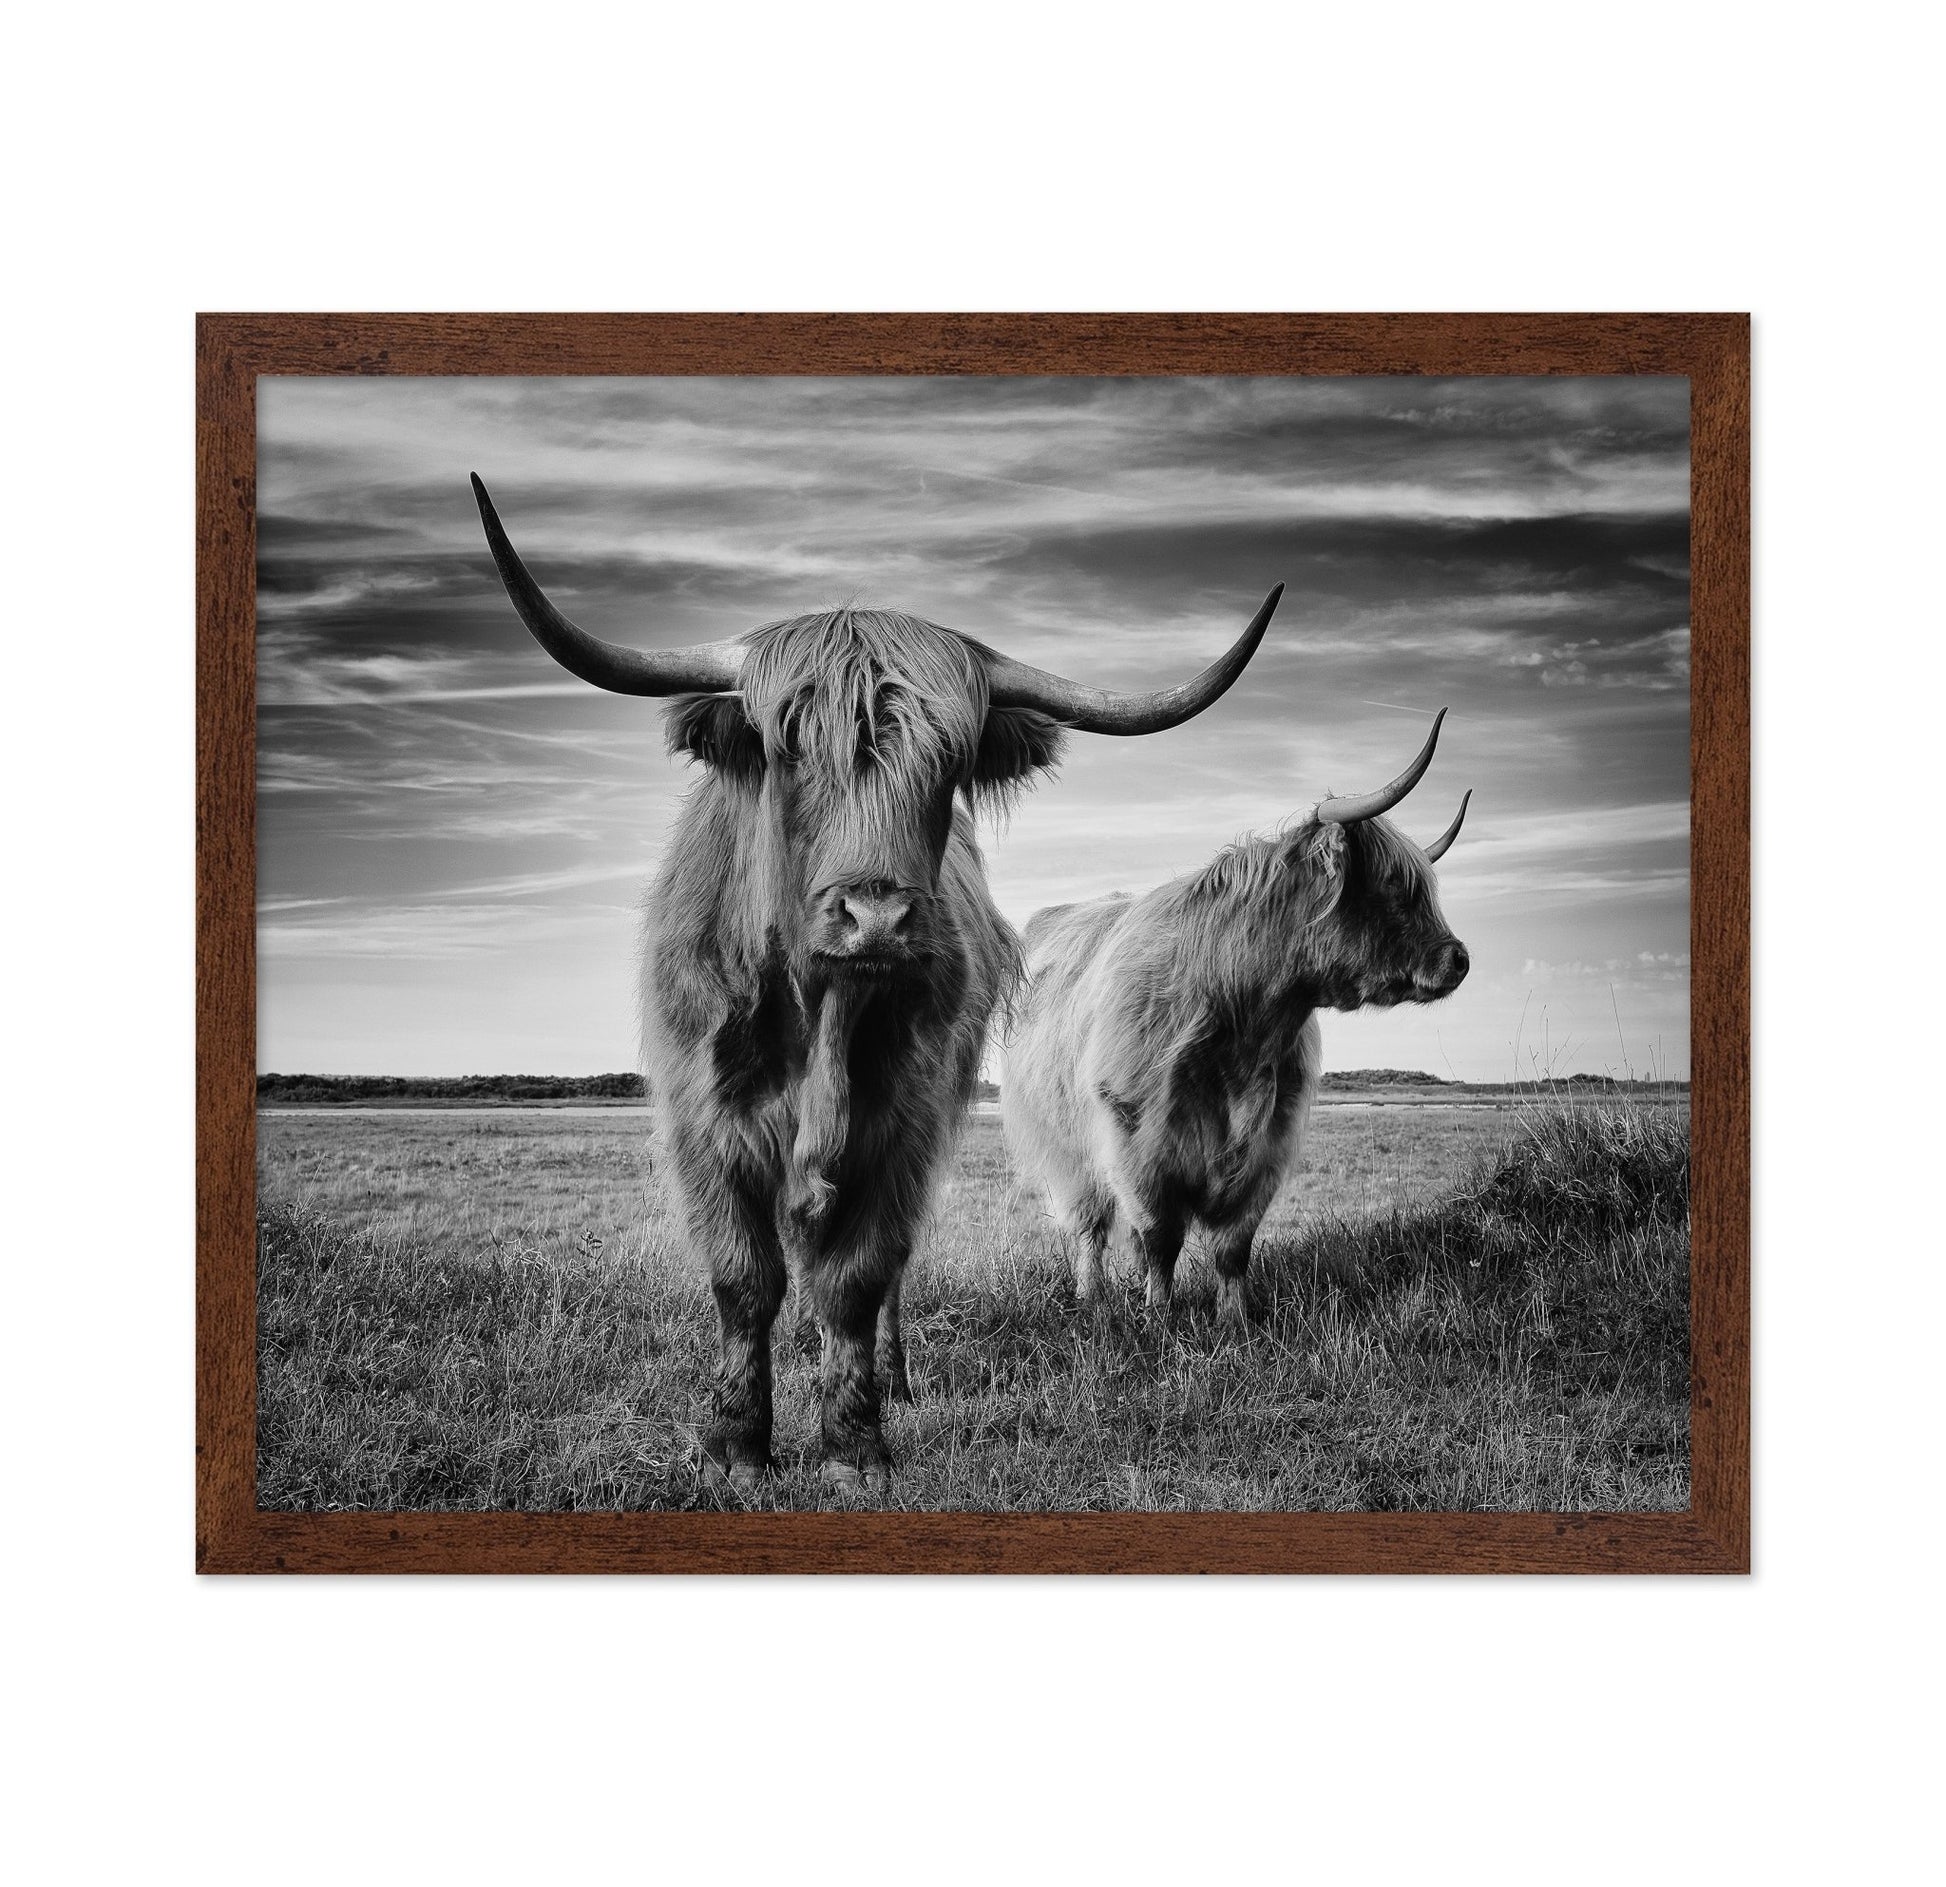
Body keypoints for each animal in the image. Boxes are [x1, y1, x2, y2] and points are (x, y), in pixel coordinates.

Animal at [470, 475, 1282, 1494]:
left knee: (885, 1271)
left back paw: (889, 1379)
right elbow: (745, 1277)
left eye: (949, 761)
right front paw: (735, 1446)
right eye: (789, 748)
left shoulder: (903, 1120)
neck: (819, 1016)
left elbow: (856, 1276)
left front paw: (853, 1444)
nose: (878, 917)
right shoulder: (704, 1119)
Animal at [1002, 712, 1470, 1330]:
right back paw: (1093, 1297)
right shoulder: (1139, 1142)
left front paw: (1236, 1321)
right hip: (1063, 1147)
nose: (1459, 959)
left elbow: (1233, 1245)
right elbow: (1160, 1238)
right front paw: (1159, 1318)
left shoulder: (1269, 1143)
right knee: (1090, 1226)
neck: (1246, 1025)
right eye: (1394, 886)